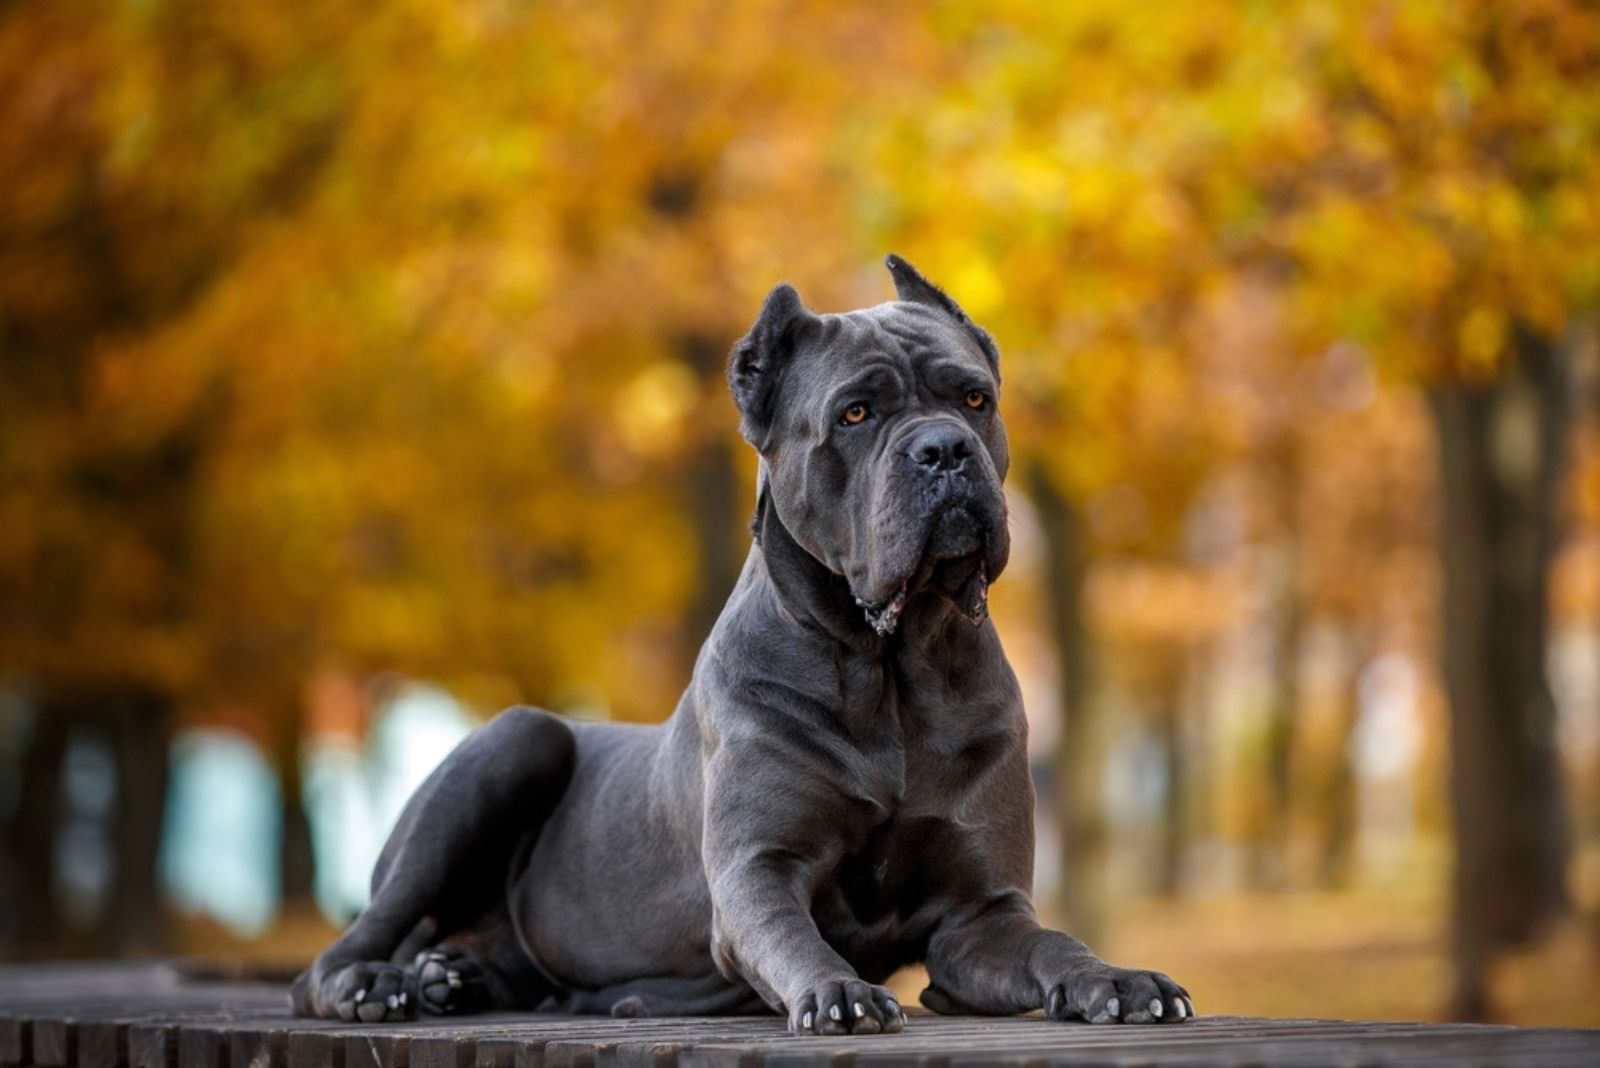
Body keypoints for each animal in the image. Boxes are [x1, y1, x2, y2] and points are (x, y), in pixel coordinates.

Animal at [288, 255, 1196, 1036]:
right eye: (856, 414)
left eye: (975, 399)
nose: (943, 449)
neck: (892, 670)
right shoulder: (757, 871)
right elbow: (793, 936)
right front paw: (836, 992)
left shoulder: (981, 915)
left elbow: (1051, 942)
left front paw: (1117, 980)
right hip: (515, 740)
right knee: (336, 956)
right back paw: (379, 985)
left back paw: (458, 977)